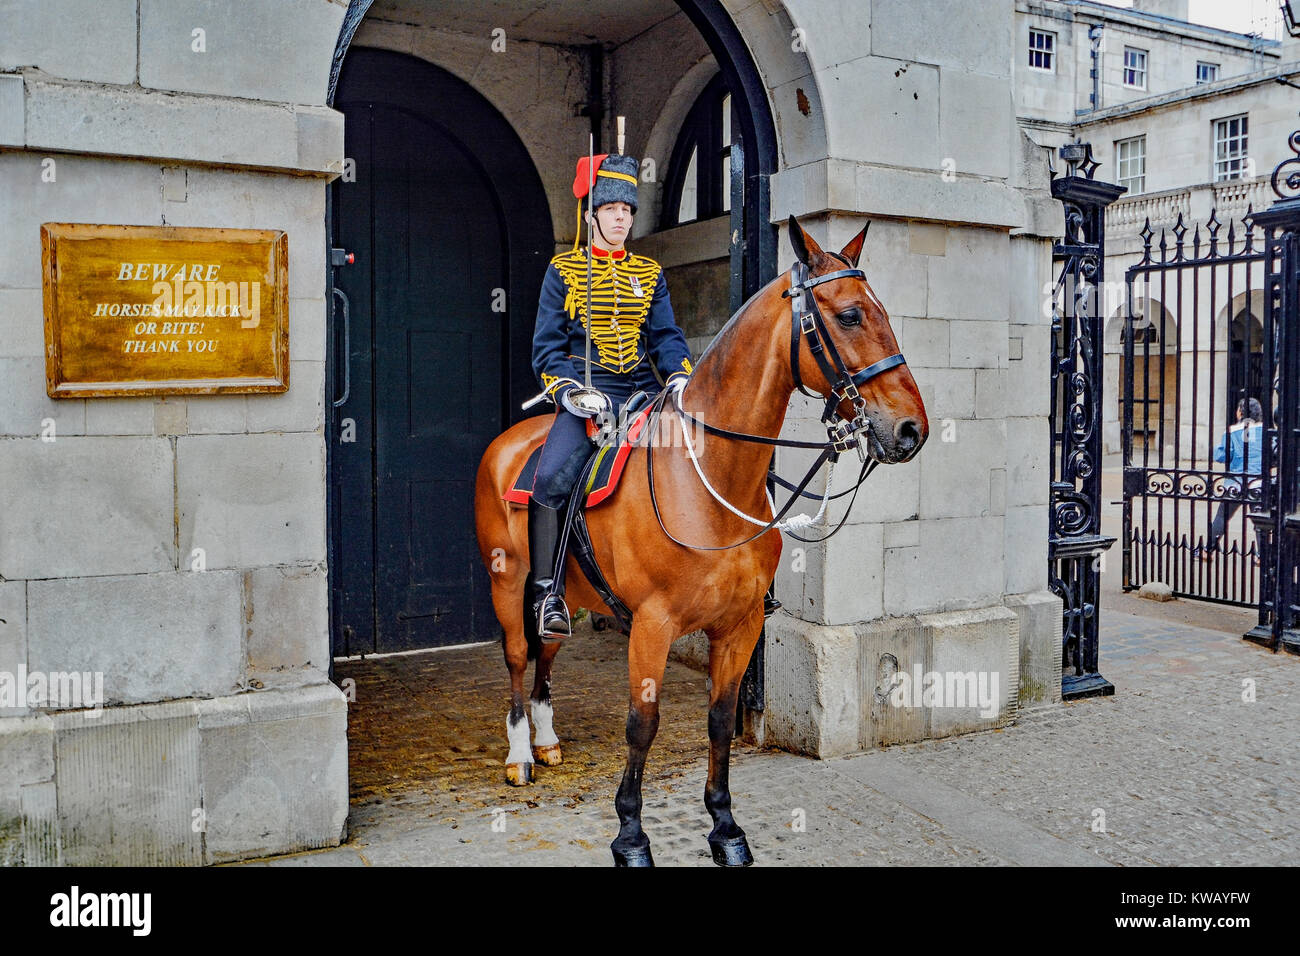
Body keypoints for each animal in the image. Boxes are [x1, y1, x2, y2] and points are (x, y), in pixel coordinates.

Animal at [473, 216, 928, 866]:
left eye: (882, 310)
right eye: (848, 316)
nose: (912, 428)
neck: (712, 478)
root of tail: (510, 441)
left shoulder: (740, 624)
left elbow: (719, 719)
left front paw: (725, 827)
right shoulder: (652, 625)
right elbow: (643, 724)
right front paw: (631, 836)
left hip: (561, 594)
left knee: (548, 649)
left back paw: (547, 740)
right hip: (507, 583)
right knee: (516, 657)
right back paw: (518, 754)